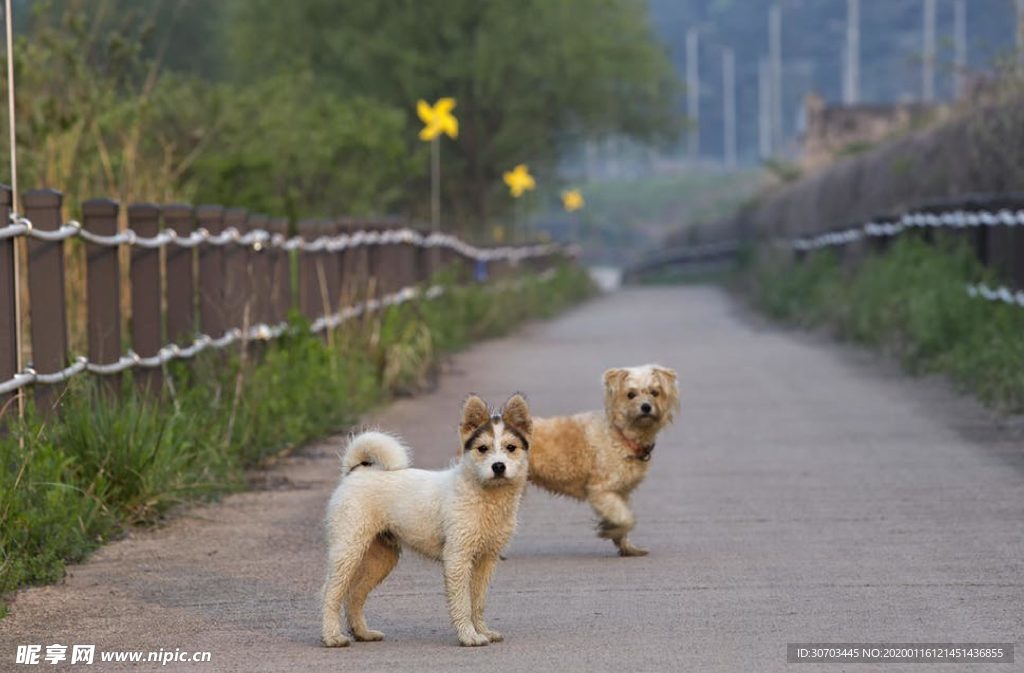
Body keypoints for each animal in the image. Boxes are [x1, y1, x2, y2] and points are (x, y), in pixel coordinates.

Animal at [319, 393, 532, 647]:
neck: (483, 495)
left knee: (355, 594)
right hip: (347, 549)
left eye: (511, 448)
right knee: (330, 593)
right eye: (483, 448)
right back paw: (332, 636)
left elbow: (478, 602)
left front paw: (483, 631)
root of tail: (355, 472)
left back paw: (363, 633)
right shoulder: (457, 558)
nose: (498, 466)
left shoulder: (486, 560)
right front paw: (469, 636)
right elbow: (462, 603)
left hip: (381, 558)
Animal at [528, 364, 679, 553]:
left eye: (654, 392)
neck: (620, 437)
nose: (646, 407)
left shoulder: (620, 492)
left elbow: (622, 519)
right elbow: (627, 518)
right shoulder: (601, 491)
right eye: (631, 394)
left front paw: (627, 547)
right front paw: (609, 531)